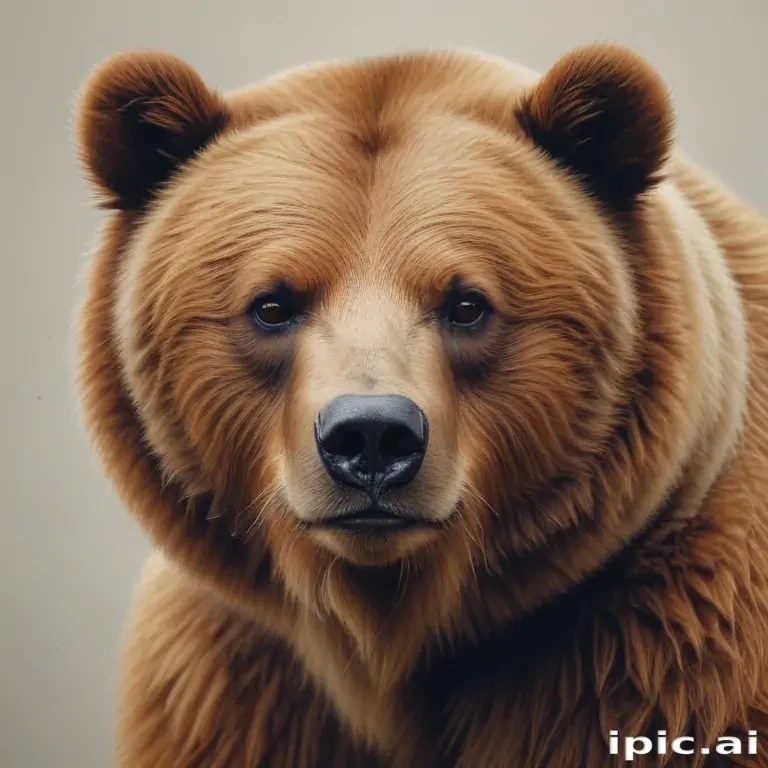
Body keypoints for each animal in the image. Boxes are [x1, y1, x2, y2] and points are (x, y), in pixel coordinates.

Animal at [73, 43, 768, 767]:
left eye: (466, 304)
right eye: (271, 305)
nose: (372, 436)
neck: (387, 642)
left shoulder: (658, 657)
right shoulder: (234, 690)